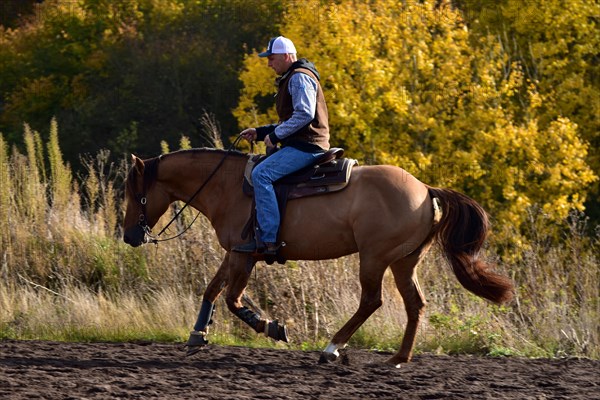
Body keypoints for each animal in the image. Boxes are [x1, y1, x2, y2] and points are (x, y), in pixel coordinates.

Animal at [124, 147, 512, 366]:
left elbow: (233, 299)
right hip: (404, 262)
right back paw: (398, 358)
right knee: (415, 304)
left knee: (371, 301)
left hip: (374, 258)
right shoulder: (235, 252)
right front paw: (197, 336)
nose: (129, 236)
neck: (229, 187)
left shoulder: (244, 256)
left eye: (136, 194)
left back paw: (331, 348)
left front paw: (272, 327)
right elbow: (213, 290)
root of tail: (426, 189)